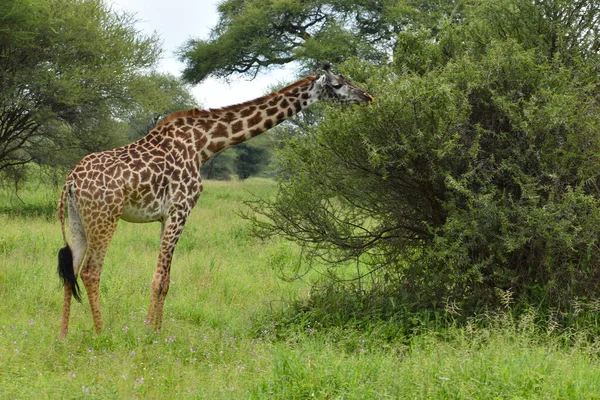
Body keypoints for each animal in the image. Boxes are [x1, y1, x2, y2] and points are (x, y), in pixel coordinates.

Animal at [57, 64, 376, 336]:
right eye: (338, 84)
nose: (367, 96)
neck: (204, 145)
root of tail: (70, 181)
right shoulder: (181, 209)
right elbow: (159, 279)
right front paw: (148, 333)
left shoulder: (165, 216)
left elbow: (166, 279)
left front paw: (157, 332)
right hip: (105, 217)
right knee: (90, 272)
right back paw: (101, 333)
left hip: (78, 220)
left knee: (70, 270)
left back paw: (63, 336)